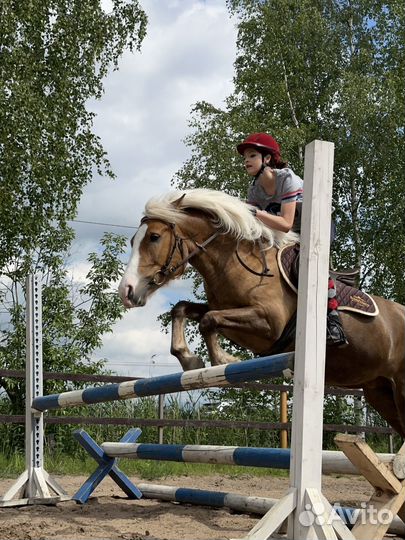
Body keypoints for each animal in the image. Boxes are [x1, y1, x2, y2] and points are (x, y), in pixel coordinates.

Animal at [118, 188, 404, 436]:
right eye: (133, 240)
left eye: (154, 237)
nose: (126, 291)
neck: (234, 263)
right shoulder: (228, 309)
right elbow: (182, 309)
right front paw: (189, 359)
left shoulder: (269, 323)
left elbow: (208, 321)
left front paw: (224, 360)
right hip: (379, 392)